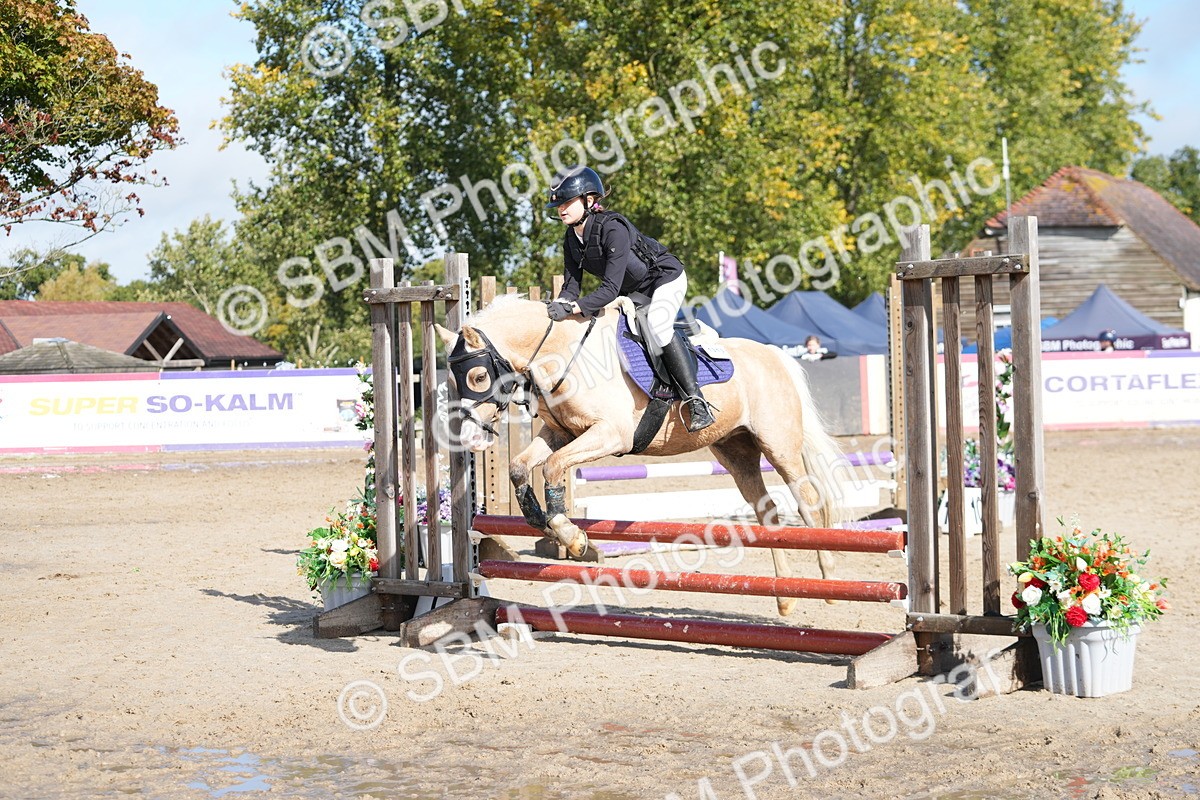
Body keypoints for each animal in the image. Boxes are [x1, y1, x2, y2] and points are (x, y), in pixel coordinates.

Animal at [435, 294, 846, 616]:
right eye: (451, 381)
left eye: (477, 377)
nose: (469, 438)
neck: (563, 354)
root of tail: (775, 355)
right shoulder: (560, 434)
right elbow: (520, 467)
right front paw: (543, 521)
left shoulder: (610, 435)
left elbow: (553, 467)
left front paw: (572, 537)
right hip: (735, 450)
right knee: (767, 511)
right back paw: (785, 598)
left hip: (779, 445)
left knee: (807, 500)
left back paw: (828, 578)